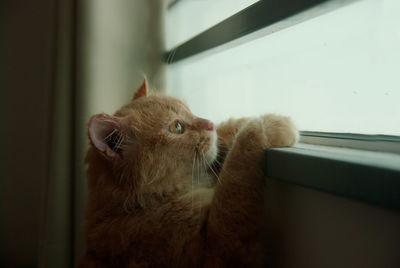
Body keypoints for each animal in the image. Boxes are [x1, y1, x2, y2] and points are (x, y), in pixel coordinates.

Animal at [79, 80, 296, 268]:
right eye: (177, 127)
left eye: (190, 111)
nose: (209, 123)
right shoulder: (218, 248)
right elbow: (239, 159)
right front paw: (273, 124)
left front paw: (235, 124)